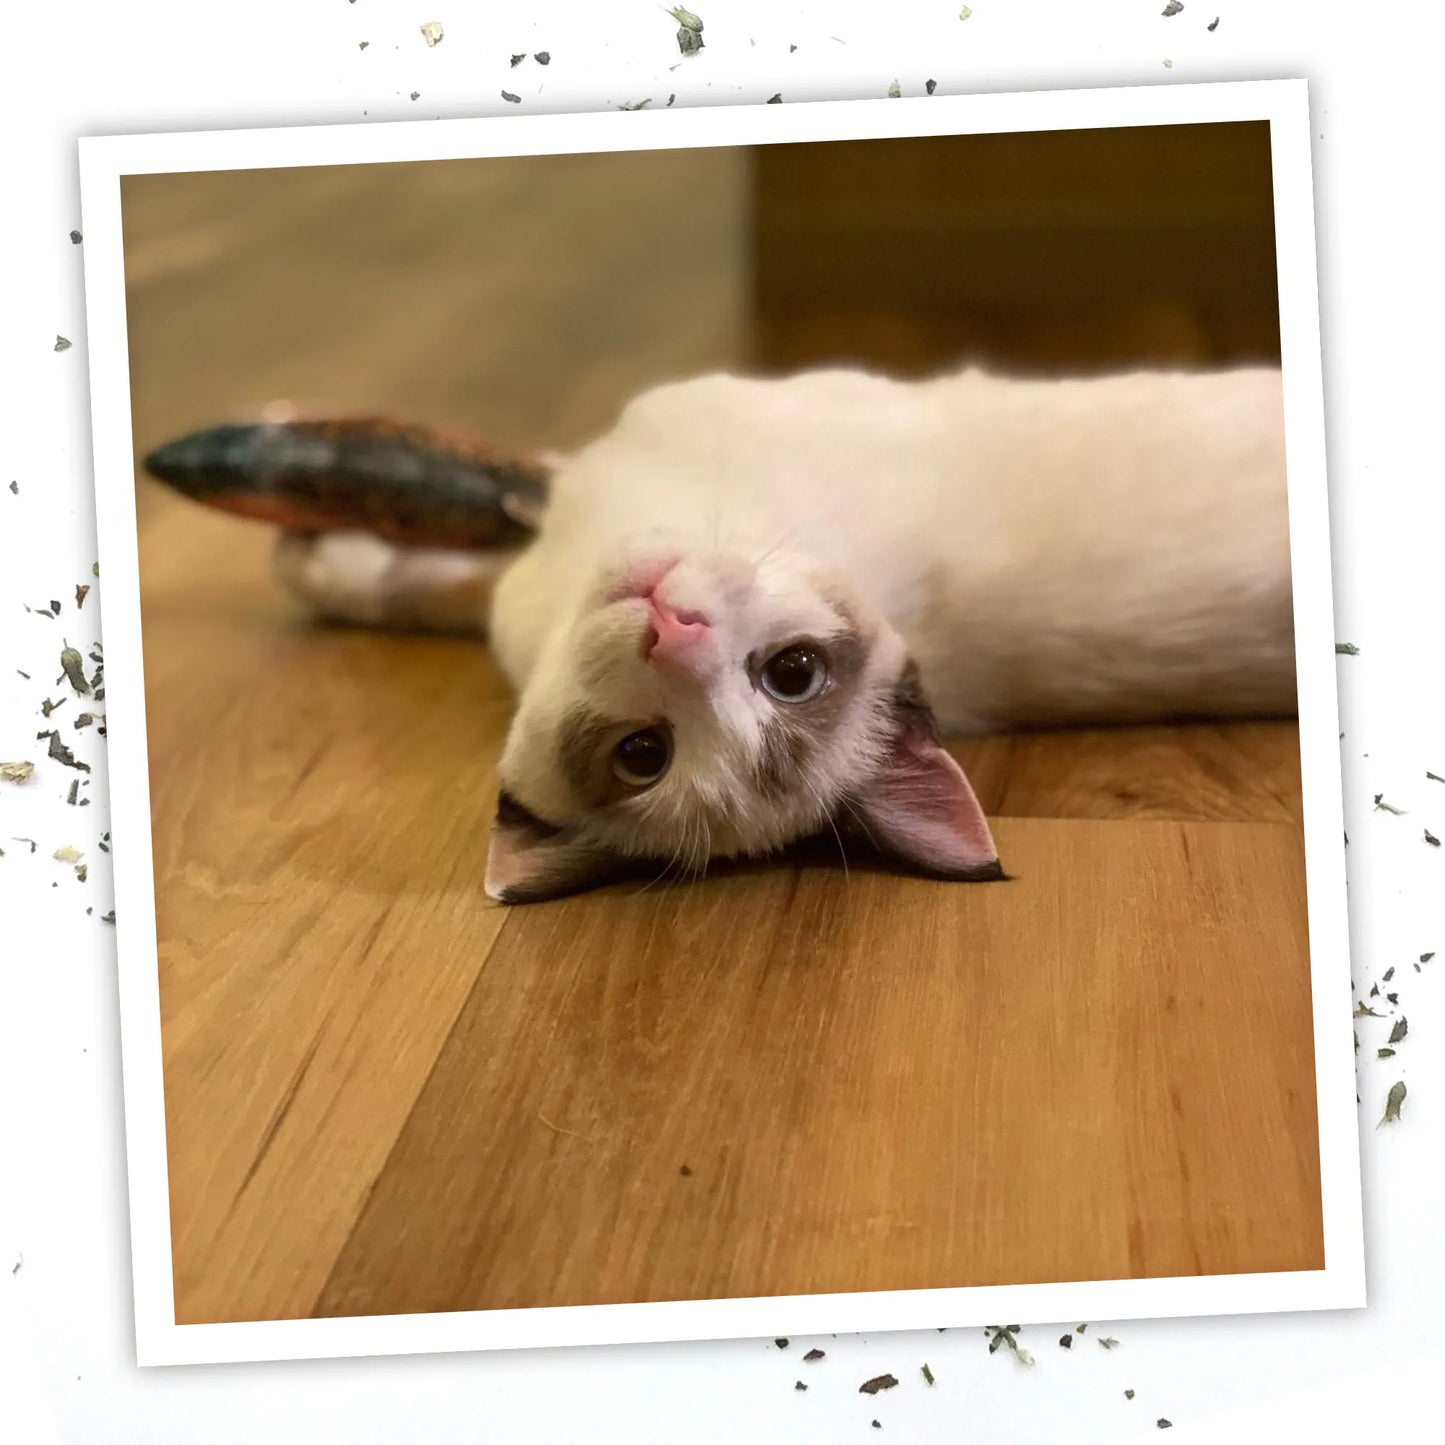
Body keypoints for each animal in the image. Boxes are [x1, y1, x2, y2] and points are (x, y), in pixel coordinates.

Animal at [149, 361, 1300, 901]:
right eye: (793, 673)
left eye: (642, 754)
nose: (676, 629)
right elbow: (449, 552)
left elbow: (473, 495)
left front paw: (293, 506)